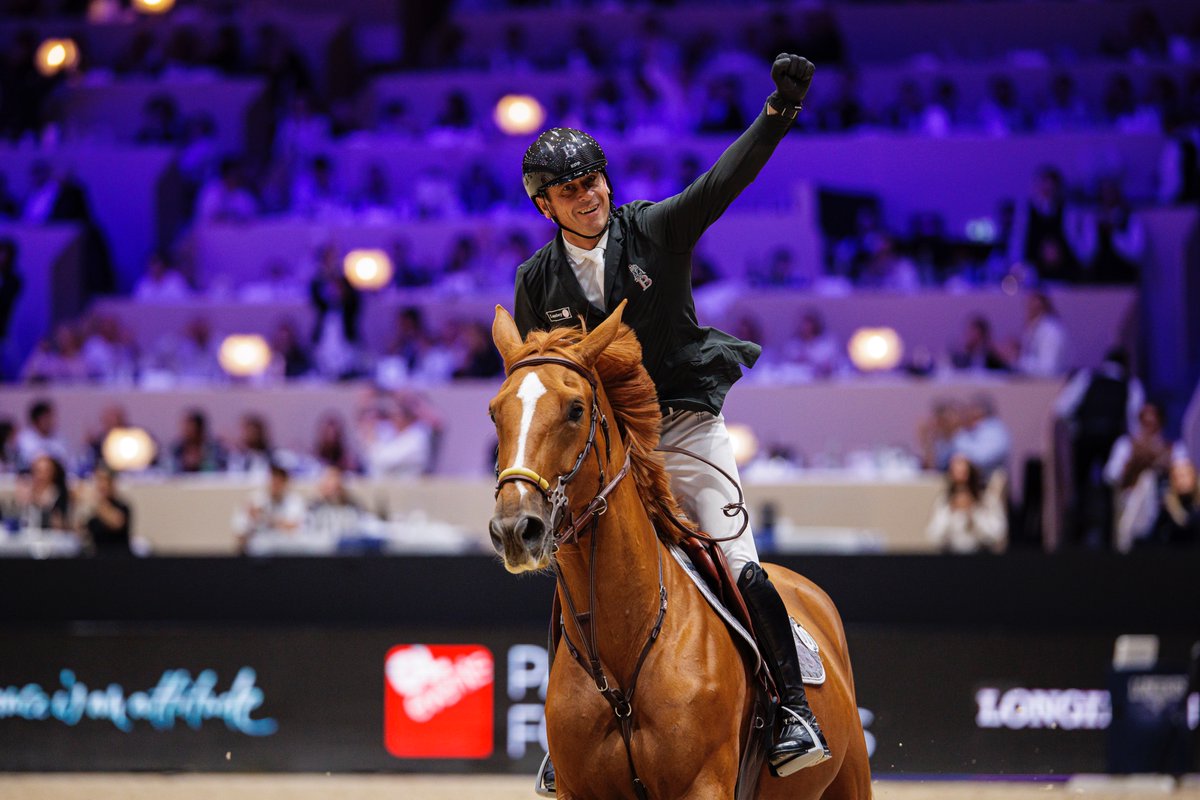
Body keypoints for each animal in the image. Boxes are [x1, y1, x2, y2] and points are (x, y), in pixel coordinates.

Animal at [488, 300, 872, 800]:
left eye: (575, 409)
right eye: (494, 413)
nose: (516, 528)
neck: (625, 644)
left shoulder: (702, 784)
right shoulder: (578, 790)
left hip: (852, 778)